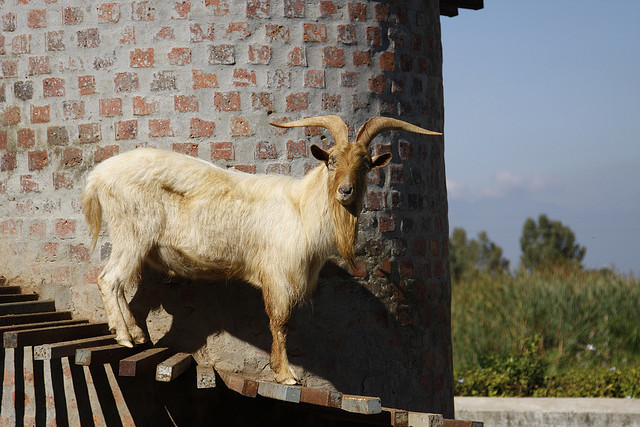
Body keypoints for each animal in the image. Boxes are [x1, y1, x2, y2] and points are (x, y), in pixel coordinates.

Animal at [82, 115, 441, 384]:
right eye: (331, 161)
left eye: (366, 165)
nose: (345, 190)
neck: (302, 209)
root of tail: (98, 175)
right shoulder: (278, 273)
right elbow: (280, 322)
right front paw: (286, 374)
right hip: (132, 234)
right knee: (108, 279)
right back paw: (124, 337)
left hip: (133, 242)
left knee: (118, 284)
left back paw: (137, 334)